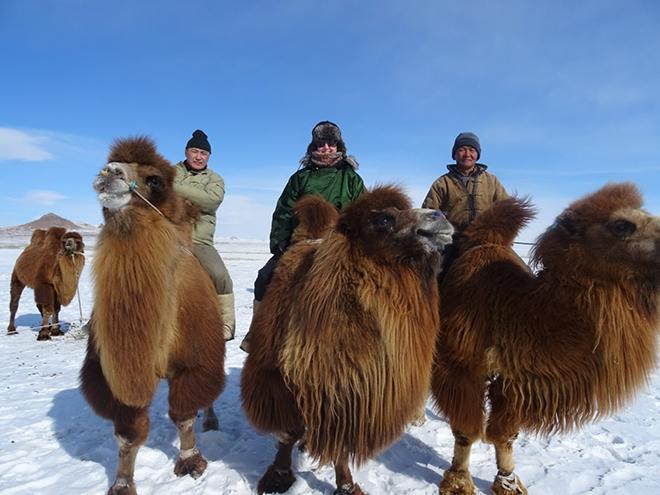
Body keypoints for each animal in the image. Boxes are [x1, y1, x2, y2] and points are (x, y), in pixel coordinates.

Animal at [80, 137, 227, 495]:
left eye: (154, 180)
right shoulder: (113, 375)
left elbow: (183, 414)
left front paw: (190, 461)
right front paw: (122, 483)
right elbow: (128, 432)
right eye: (109, 163)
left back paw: (211, 419)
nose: (109, 172)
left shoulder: (192, 362)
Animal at [241, 187, 454, 495]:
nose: (439, 217)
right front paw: (277, 477)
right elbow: (288, 431)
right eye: (384, 219)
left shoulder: (346, 387)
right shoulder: (284, 380)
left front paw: (346, 485)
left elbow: (338, 442)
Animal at [434, 183, 660, 495]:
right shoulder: (460, 369)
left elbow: (504, 435)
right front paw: (457, 482)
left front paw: (509, 482)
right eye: (622, 225)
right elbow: (466, 429)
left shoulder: (513, 381)